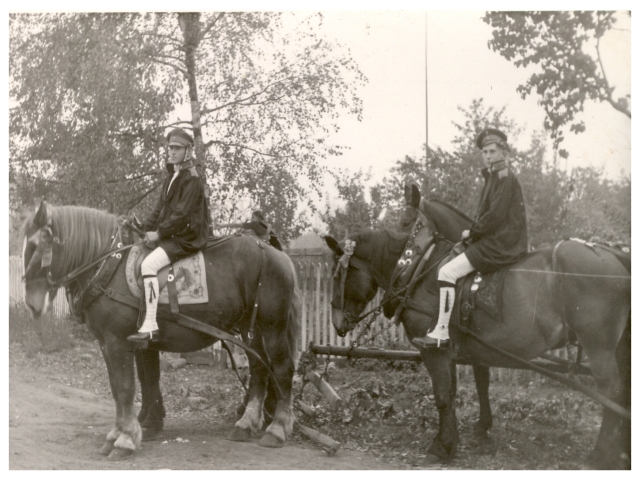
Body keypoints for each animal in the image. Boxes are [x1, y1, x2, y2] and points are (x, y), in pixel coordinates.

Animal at [20, 201, 300, 460]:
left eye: (35, 246)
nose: (32, 304)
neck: (111, 263)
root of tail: (276, 253)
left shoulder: (117, 342)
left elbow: (126, 388)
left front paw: (126, 439)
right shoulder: (107, 344)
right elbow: (119, 386)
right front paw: (119, 432)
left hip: (272, 328)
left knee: (282, 369)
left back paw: (277, 429)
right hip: (250, 330)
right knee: (259, 369)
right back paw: (246, 424)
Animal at [324, 185, 632, 468]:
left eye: (338, 274)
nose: (337, 322)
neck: (424, 267)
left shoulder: (434, 351)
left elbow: (443, 395)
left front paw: (442, 446)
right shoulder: (463, 350)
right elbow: (469, 388)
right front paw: (470, 434)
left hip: (599, 347)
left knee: (612, 390)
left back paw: (601, 455)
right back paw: (621, 450)